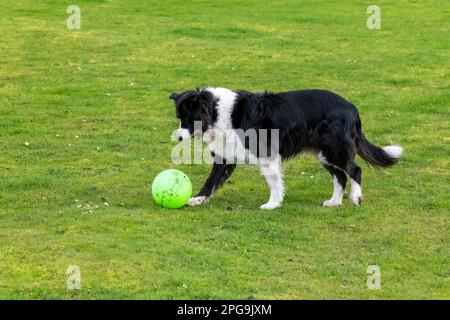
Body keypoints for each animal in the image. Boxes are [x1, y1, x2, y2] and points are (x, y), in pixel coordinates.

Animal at [170, 87, 404, 210]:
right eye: (179, 118)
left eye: (187, 118)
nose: (178, 137)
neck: (218, 112)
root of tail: (352, 108)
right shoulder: (225, 156)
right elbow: (211, 181)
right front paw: (198, 198)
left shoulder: (266, 154)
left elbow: (274, 182)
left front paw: (272, 204)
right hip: (324, 153)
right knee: (340, 176)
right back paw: (334, 201)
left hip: (334, 148)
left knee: (355, 170)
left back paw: (355, 197)